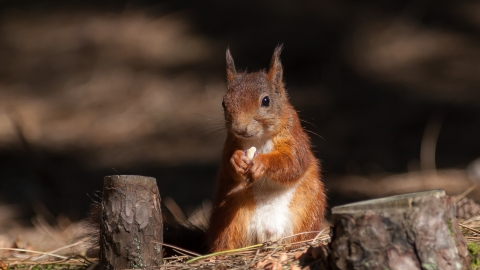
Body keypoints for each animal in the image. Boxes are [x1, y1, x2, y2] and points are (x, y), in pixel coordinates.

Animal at [208, 46, 328, 251]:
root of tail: (267, 234)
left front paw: (262, 163)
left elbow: (293, 163)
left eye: (266, 101)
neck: (259, 139)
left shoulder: (295, 138)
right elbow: (226, 164)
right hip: (230, 213)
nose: (240, 128)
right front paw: (237, 160)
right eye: (224, 102)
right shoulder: (231, 141)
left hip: (308, 207)